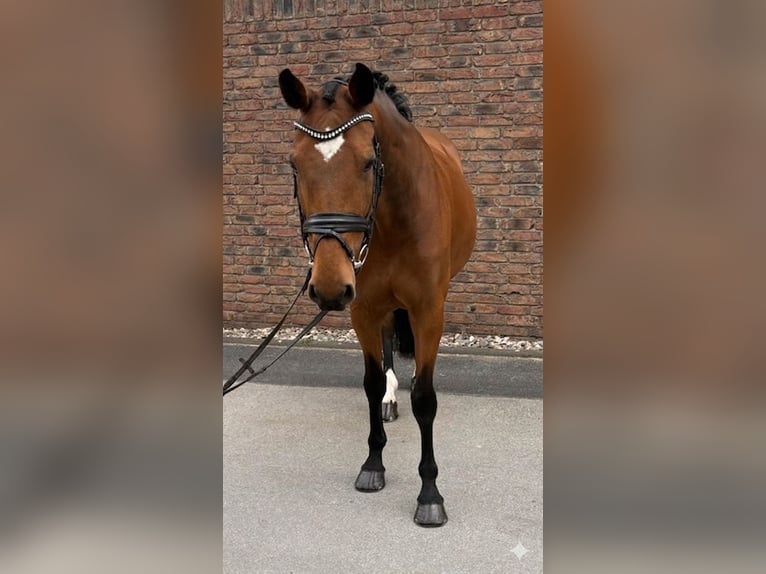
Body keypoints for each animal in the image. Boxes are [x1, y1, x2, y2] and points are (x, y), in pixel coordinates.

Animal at [278, 63, 476, 526]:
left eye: (369, 163)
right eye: (295, 164)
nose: (329, 287)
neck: (393, 217)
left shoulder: (428, 310)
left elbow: (425, 398)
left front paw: (430, 494)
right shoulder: (363, 308)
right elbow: (369, 383)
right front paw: (373, 464)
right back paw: (389, 396)